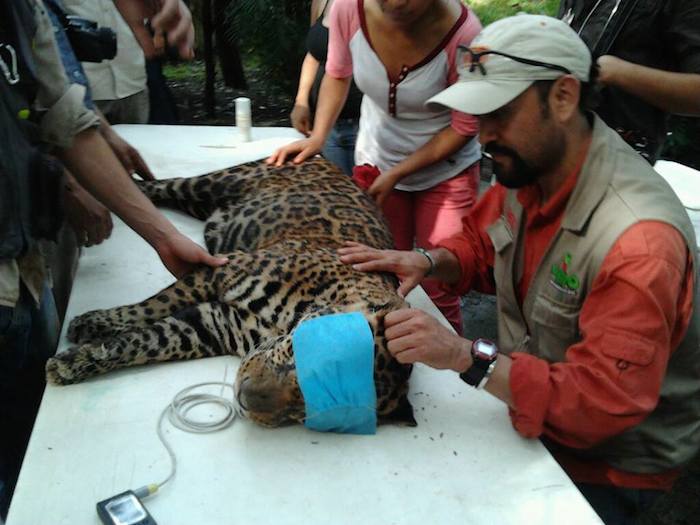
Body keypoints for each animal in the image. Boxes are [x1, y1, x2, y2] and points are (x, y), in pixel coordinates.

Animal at [45, 157, 416, 428]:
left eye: (313, 409)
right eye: (303, 355)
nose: (244, 397)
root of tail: (324, 158)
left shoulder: (212, 326)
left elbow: (146, 341)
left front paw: (74, 362)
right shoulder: (221, 272)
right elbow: (151, 307)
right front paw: (91, 325)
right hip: (218, 182)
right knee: (164, 184)